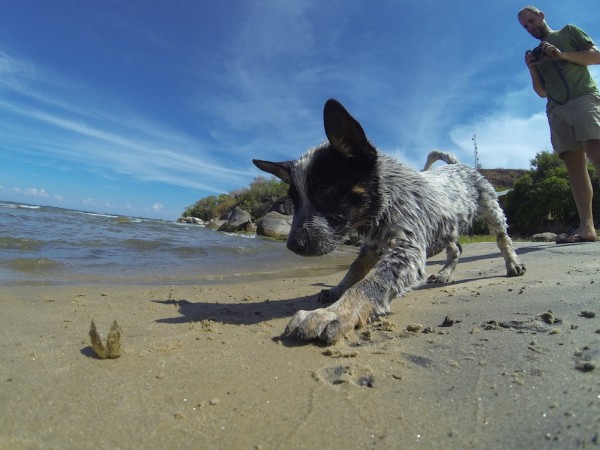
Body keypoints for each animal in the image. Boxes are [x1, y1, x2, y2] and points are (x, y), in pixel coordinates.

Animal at [253, 99, 524, 344]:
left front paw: (333, 314)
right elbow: (355, 271)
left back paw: (513, 263)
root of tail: (459, 166)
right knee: (455, 248)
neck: (382, 204)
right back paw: (444, 274)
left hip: (491, 210)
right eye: (294, 200)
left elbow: (369, 283)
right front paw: (337, 291)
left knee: (502, 239)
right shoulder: (372, 245)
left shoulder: (408, 250)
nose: (292, 246)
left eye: (327, 191)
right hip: (444, 226)